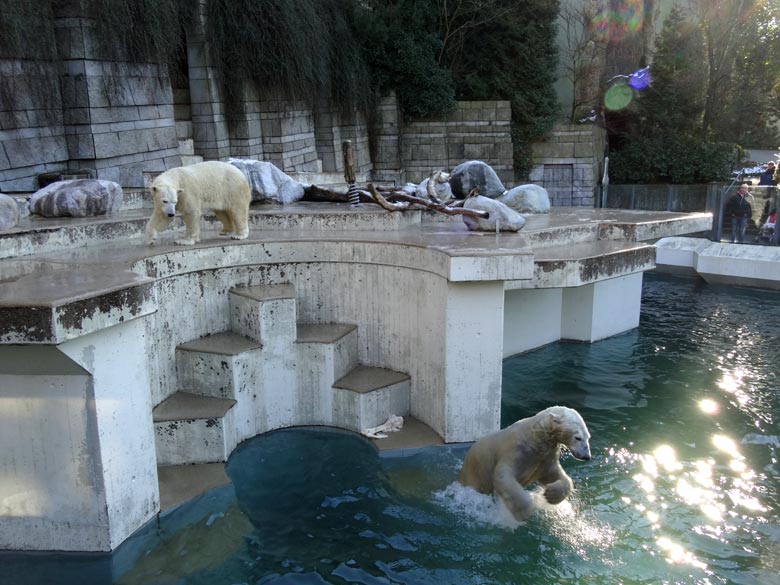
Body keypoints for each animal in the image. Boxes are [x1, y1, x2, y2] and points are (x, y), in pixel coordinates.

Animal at [458, 406, 592, 520]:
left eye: (588, 437)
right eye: (578, 437)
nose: (587, 456)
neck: (536, 438)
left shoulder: (545, 458)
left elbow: (553, 475)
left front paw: (551, 494)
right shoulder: (516, 451)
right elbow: (503, 475)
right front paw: (525, 511)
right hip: (474, 475)